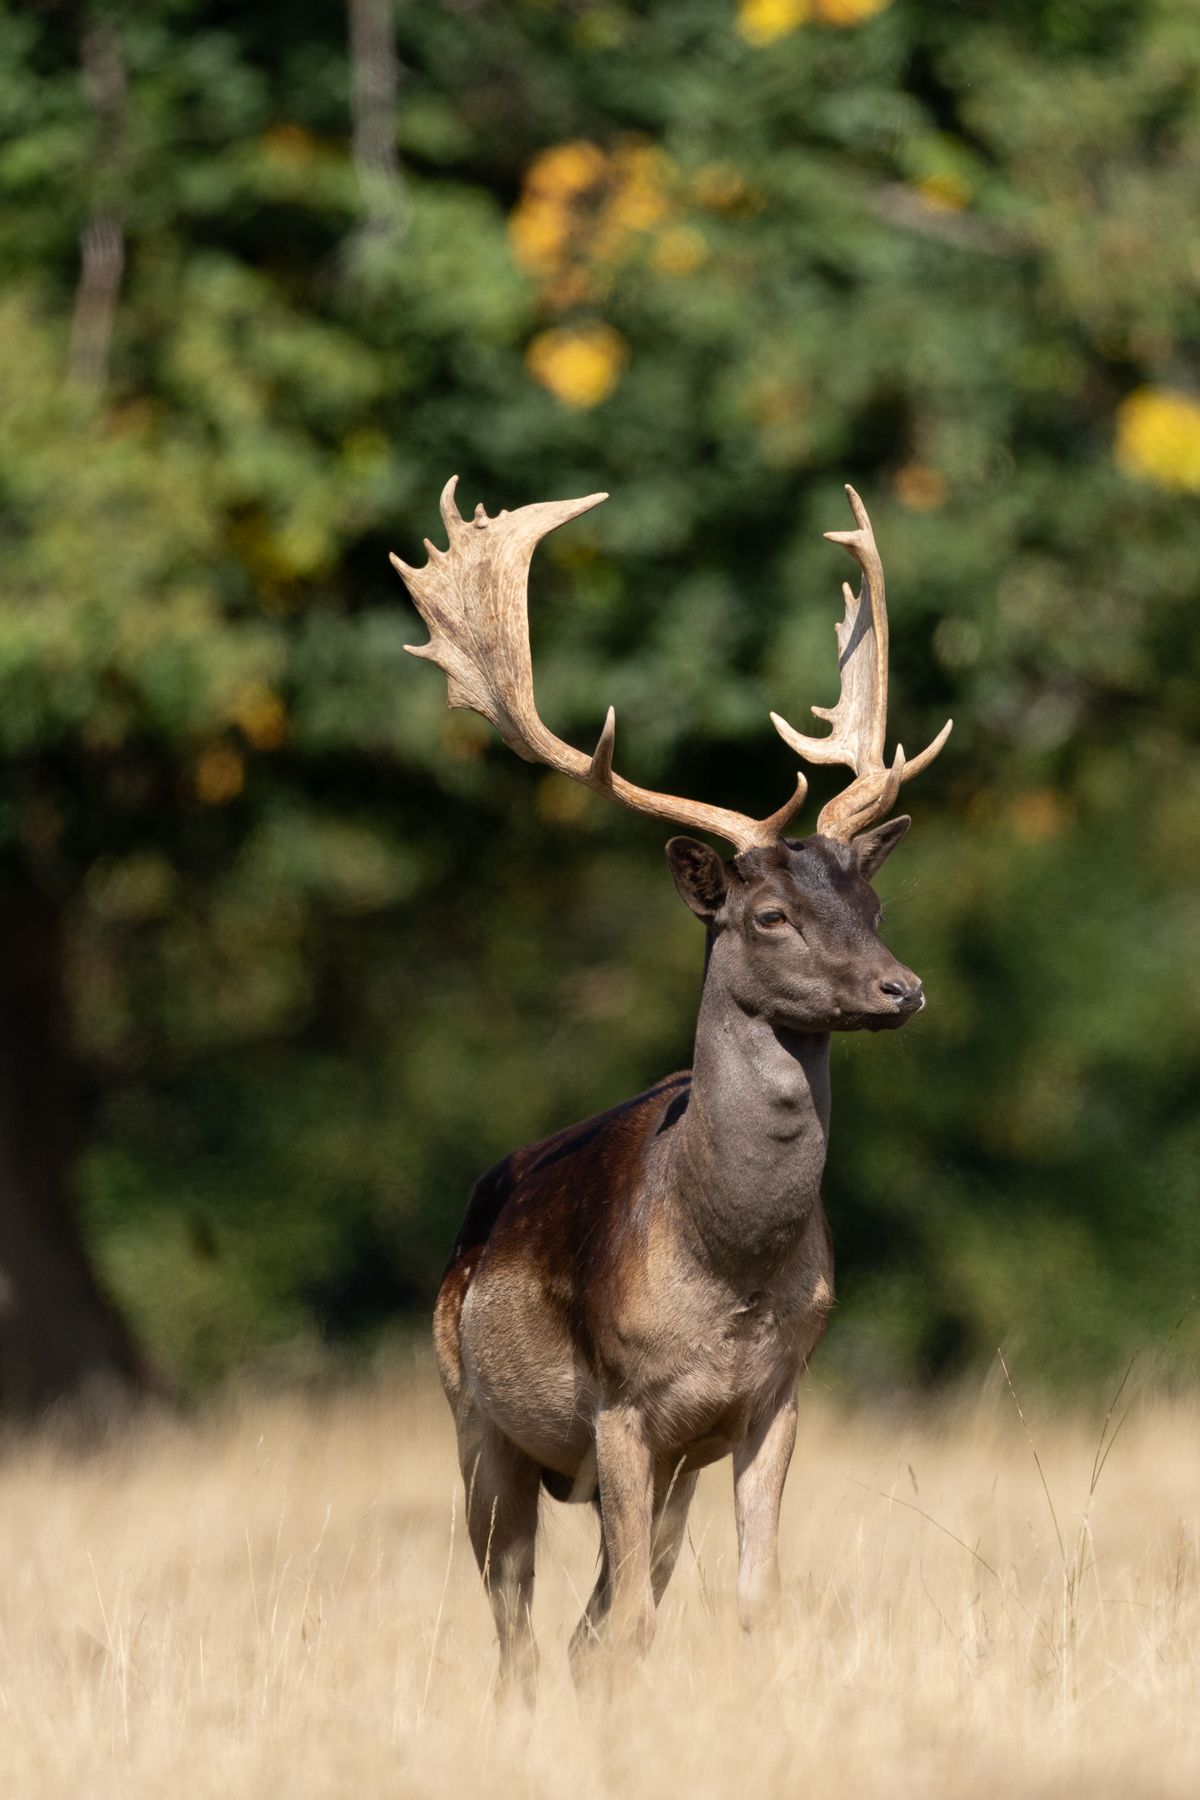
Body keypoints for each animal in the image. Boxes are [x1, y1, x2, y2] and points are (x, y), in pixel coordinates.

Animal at [392, 478, 951, 1693]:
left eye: (872, 902)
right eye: (768, 914)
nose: (902, 987)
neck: (726, 1261)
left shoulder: (771, 1397)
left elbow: (748, 1601)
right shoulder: (620, 1405)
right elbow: (632, 1623)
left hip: (660, 1472)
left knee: (584, 1621)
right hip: (476, 1419)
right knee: (516, 1623)